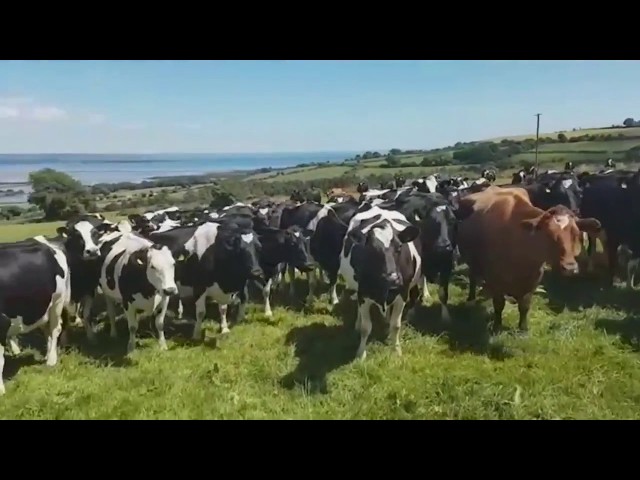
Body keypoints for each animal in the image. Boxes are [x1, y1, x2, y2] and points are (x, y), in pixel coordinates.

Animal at [0, 235, 70, 394]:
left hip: (57, 301)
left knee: (55, 329)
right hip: (41, 308)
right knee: (47, 330)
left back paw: (51, 360)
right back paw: (47, 354)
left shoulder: (2, 322)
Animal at [338, 206, 422, 360]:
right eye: (371, 249)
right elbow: (366, 327)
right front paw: (361, 354)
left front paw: (396, 350)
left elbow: (396, 325)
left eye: (399, 247)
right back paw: (358, 323)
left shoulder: (402, 294)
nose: (392, 279)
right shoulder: (363, 294)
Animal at [458, 187, 604, 334]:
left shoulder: (533, 279)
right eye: (549, 234)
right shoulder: (495, 279)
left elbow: (524, 306)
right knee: (472, 277)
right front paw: (497, 326)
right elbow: (499, 305)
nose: (570, 268)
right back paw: (470, 299)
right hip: (471, 260)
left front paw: (523, 328)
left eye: (576, 234)